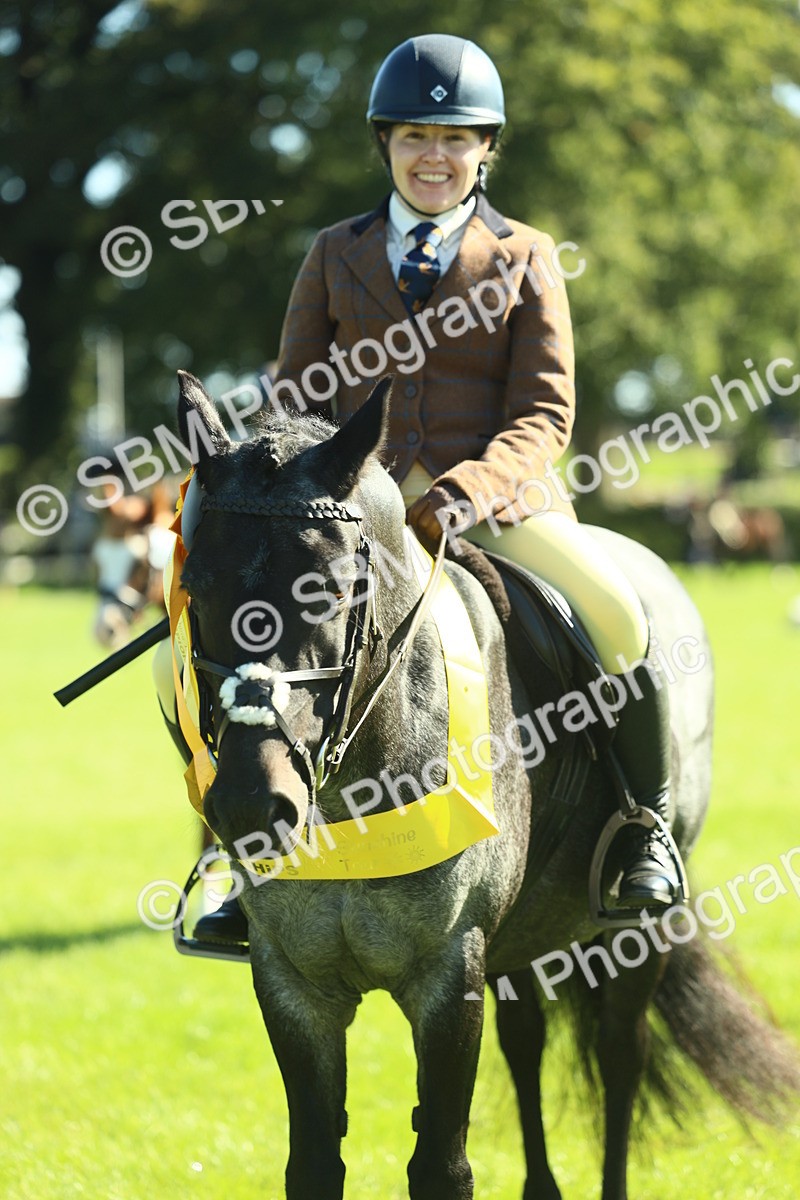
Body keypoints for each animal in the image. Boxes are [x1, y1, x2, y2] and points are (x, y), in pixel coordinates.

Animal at [173, 371, 799, 1200]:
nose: (249, 805)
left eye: (333, 591)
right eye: (194, 586)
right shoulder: (293, 982)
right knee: (526, 1039)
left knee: (620, 1057)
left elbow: (442, 1164)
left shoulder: (448, 972)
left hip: (637, 927)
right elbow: (312, 1162)